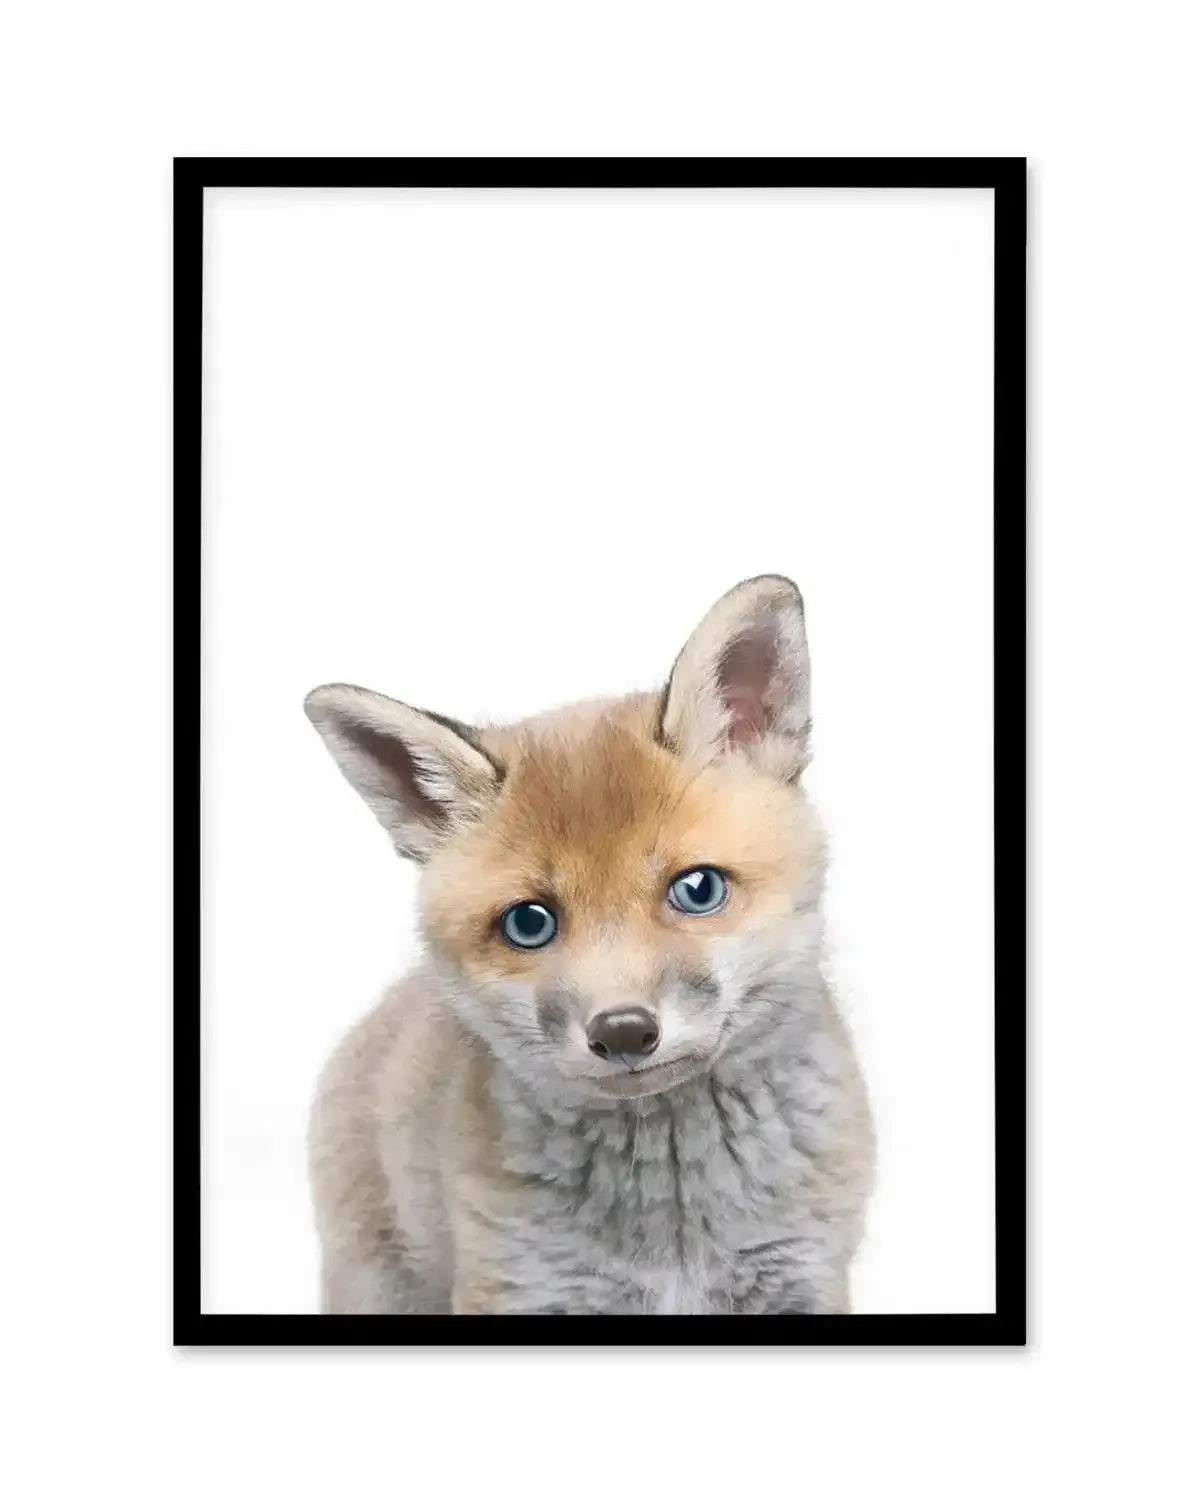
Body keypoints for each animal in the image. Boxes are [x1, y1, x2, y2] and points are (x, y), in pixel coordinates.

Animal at [304, 574, 874, 1314]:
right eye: (530, 923)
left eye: (697, 889)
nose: (624, 1031)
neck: (675, 1228)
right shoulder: (522, 1285)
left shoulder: (801, 1274)